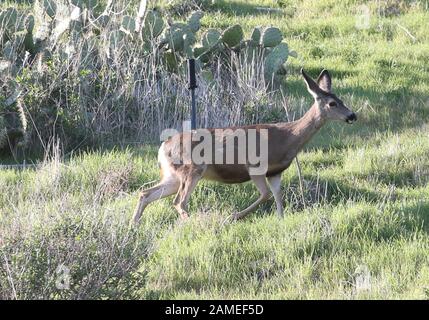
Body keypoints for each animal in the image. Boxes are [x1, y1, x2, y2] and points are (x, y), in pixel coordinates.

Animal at [132, 69, 356, 225]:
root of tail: (163, 147)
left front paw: (280, 220)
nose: (352, 115)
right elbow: (265, 195)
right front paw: (233, 216)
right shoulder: (255, 166)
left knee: (146, 193)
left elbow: (278, 197)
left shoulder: (275, 172)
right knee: (179, 201)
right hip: (192, 168)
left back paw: (134, 225)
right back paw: (196, 223)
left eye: (341, 99)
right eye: (332, 103)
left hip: (172, 175)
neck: (288, 137)